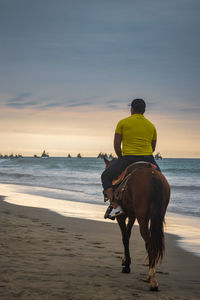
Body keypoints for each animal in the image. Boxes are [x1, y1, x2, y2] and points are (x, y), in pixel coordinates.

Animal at [103, 158, 170, 292]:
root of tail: (152, 175)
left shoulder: (122, 216)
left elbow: (124, 238)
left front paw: (126, 265)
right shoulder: (132, 215)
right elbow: (128, 234)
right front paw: (125, 261)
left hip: (142, 217)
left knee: (149, 243)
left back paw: (152, 278)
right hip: (157, 215)